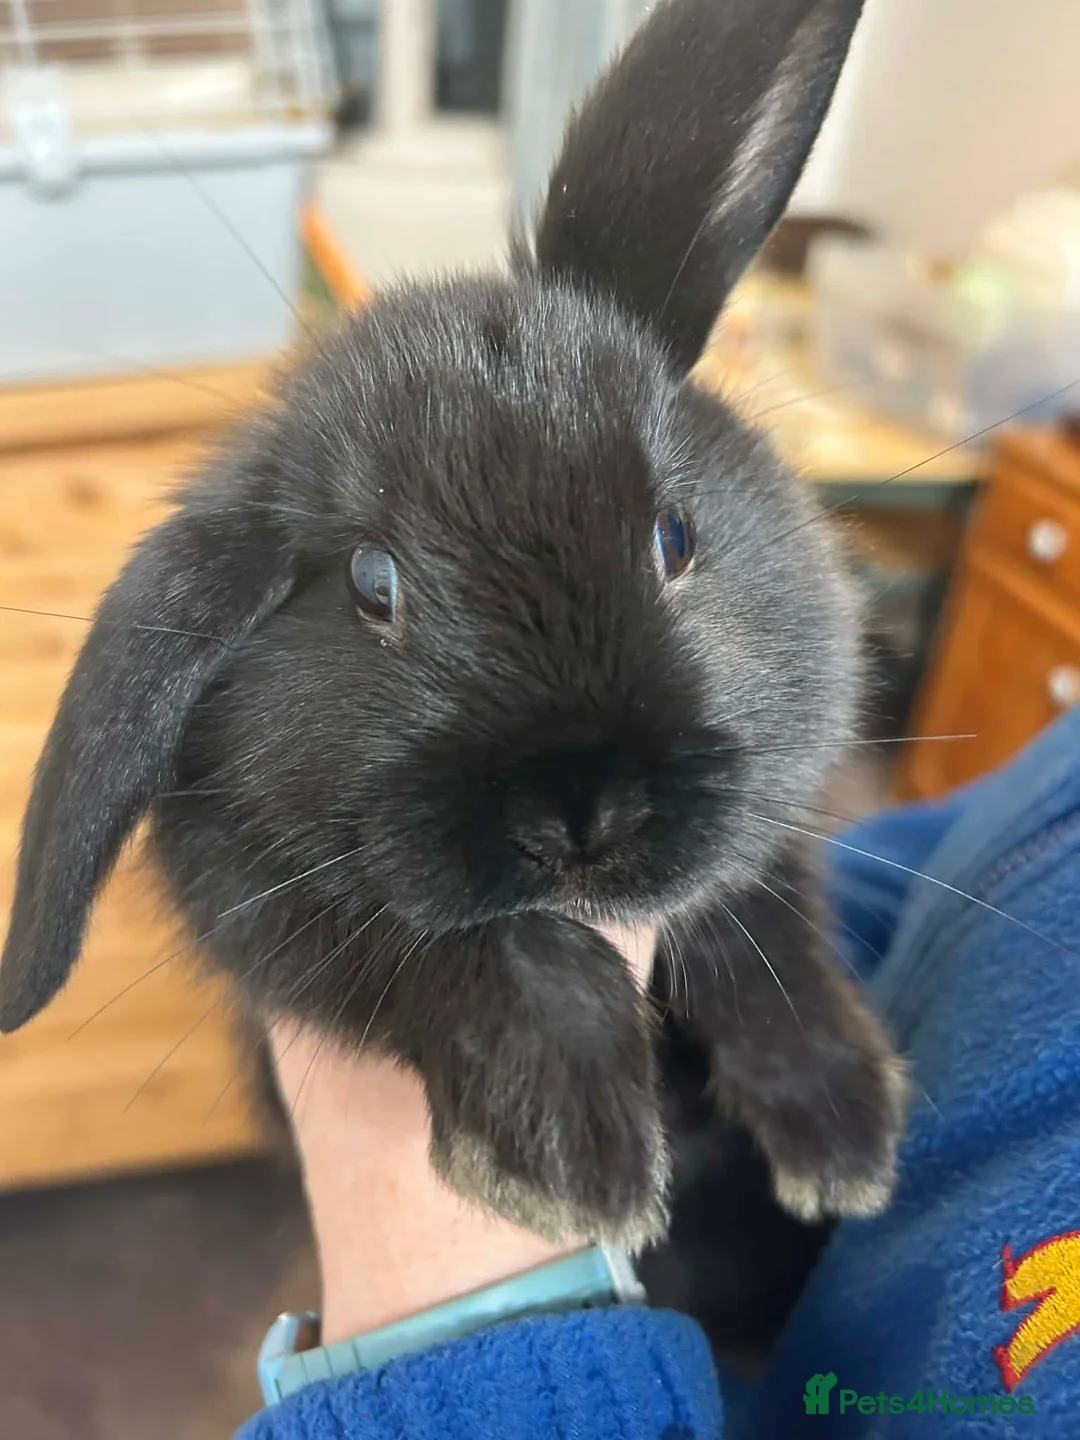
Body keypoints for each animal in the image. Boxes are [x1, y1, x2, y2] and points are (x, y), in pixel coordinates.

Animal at [0, 0, 906, 1260]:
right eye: (373, 585)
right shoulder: (255, 894)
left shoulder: (770, 827)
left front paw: (841, 1134)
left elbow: (761, 930)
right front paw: (571, 1154)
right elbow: (453, 941)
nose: (583, 808)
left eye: (675, 536)